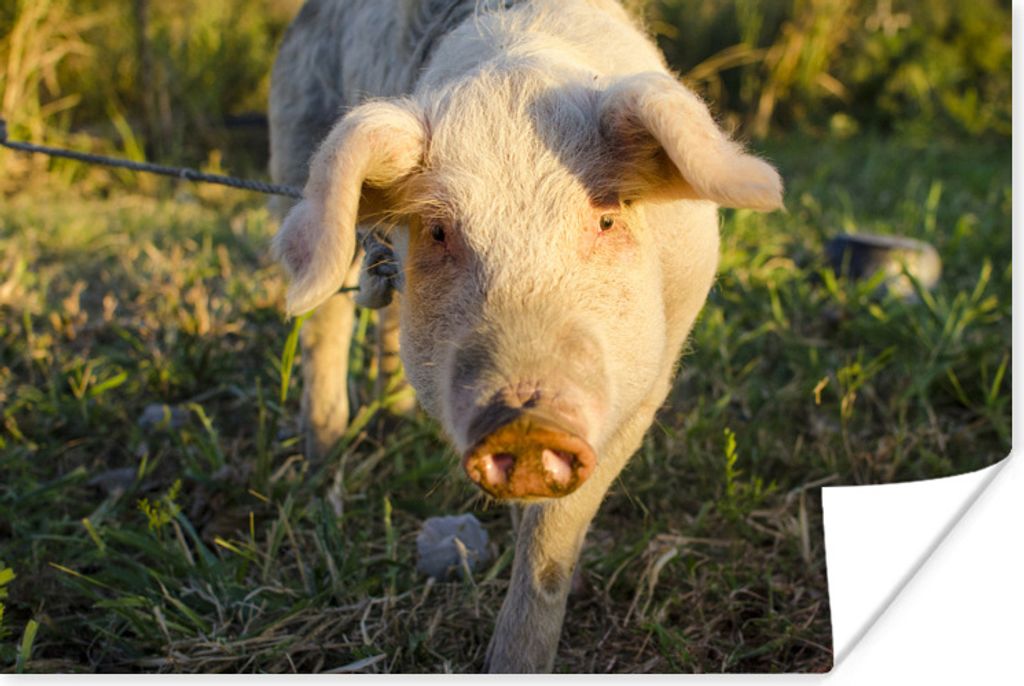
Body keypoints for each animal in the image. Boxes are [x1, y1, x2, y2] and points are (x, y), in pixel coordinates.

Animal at [269, 0, 782, 672]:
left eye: (607, 218)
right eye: (439, 232)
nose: (527, 420)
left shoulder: (648, 384)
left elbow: (551, 543)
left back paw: (394, 419)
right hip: (295, 154)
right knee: (325, 324)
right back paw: (322, 470)